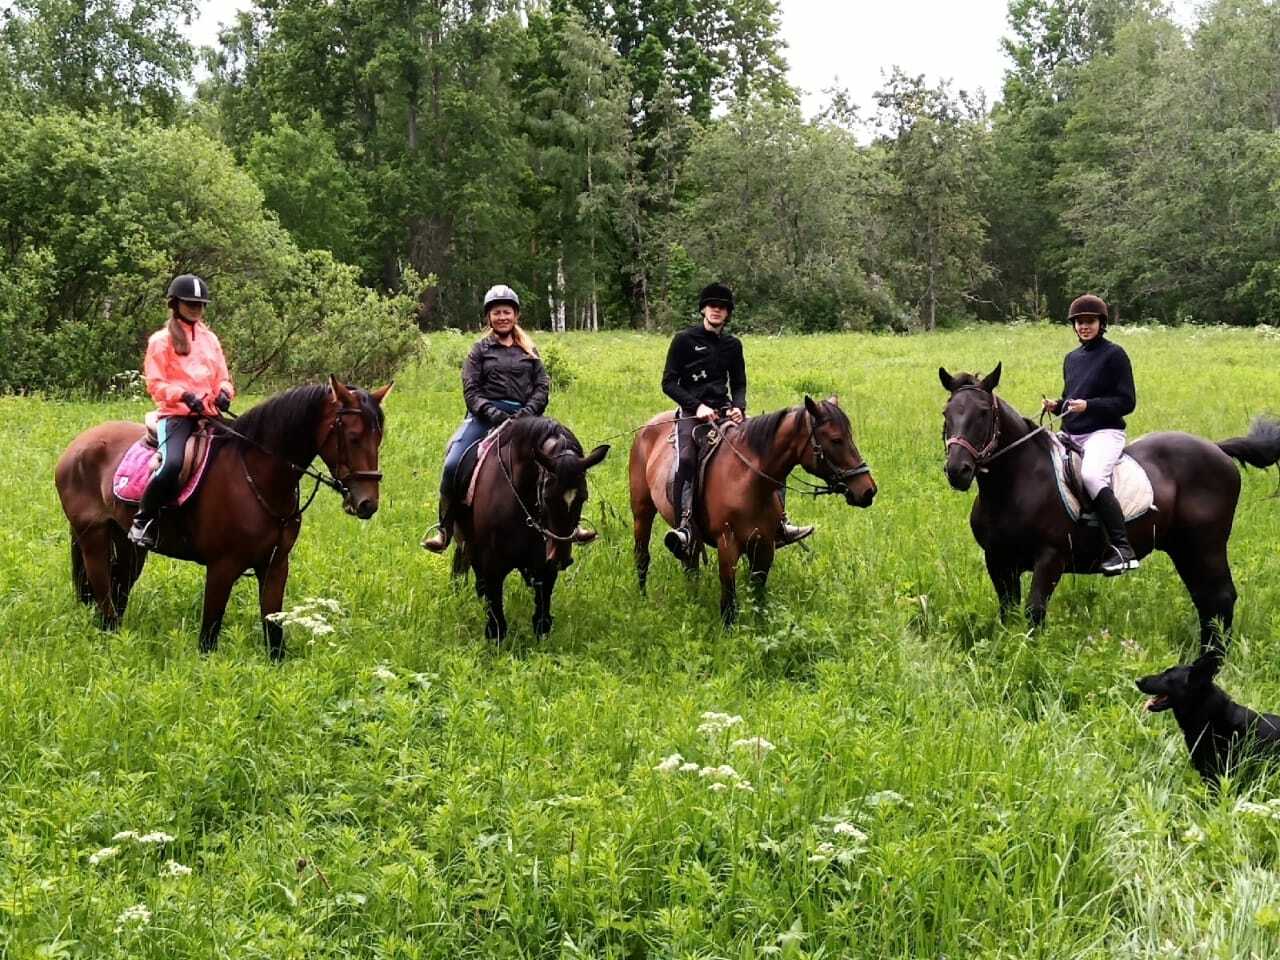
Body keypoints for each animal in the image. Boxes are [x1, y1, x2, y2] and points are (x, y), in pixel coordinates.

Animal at [52, 378, 389, 660]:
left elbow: (273, 628)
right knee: (102, 588)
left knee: (119, 587)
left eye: (379, 438)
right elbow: (209, 633)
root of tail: (77, 445)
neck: (256, 475)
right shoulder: (222, 567)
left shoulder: (276, 565)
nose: (367, 503)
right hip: (93, 536)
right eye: (354, 437)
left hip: (128, 544)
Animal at [450, 417, 609, 642]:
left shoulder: (544, 566)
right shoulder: (492, 565)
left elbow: (542, 618)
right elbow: (497, 622)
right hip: (465, 541)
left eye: (583, 498)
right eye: (547, 497)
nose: (561, 558)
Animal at [632, 396, 880, 627]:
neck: (746, 480)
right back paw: (642, 600)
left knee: (690, 565)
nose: (868, 490)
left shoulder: (764, 544)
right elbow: (729, 600)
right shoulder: (728, 545)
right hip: (642, 511)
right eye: (836, 439)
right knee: (643, 556)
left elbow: (758, 594)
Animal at [942, 363, 1280, 660]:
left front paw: (1030, 657)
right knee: (1206, 600)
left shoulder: (1050, 558)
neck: (1017, 484)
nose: (957, 470)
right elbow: (1008, 612)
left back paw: (1214, 661)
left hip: (1207, 546)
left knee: (1220, 597)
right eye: (947, 413)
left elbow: (1034, 611)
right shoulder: (999, 561)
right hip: (1184, 549)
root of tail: (1218, 449)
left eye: (983, 413)